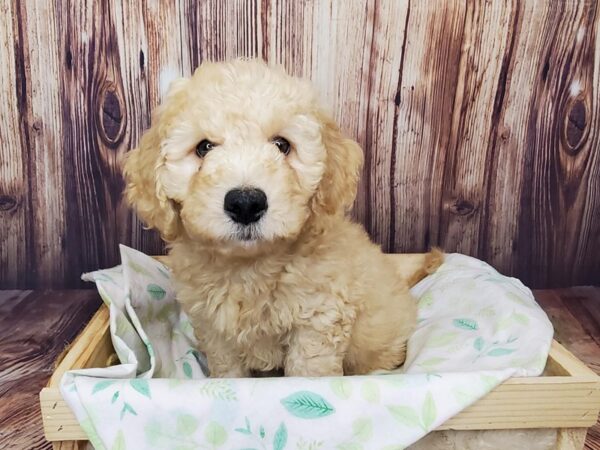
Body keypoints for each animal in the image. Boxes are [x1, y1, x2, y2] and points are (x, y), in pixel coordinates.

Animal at [125, 59, 436, 376]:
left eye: (282, 145)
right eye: (204, 148)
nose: (246, 203)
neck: (250, 266)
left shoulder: (318, 319)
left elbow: (308, 371)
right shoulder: (215, 330)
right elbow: (228, 368)